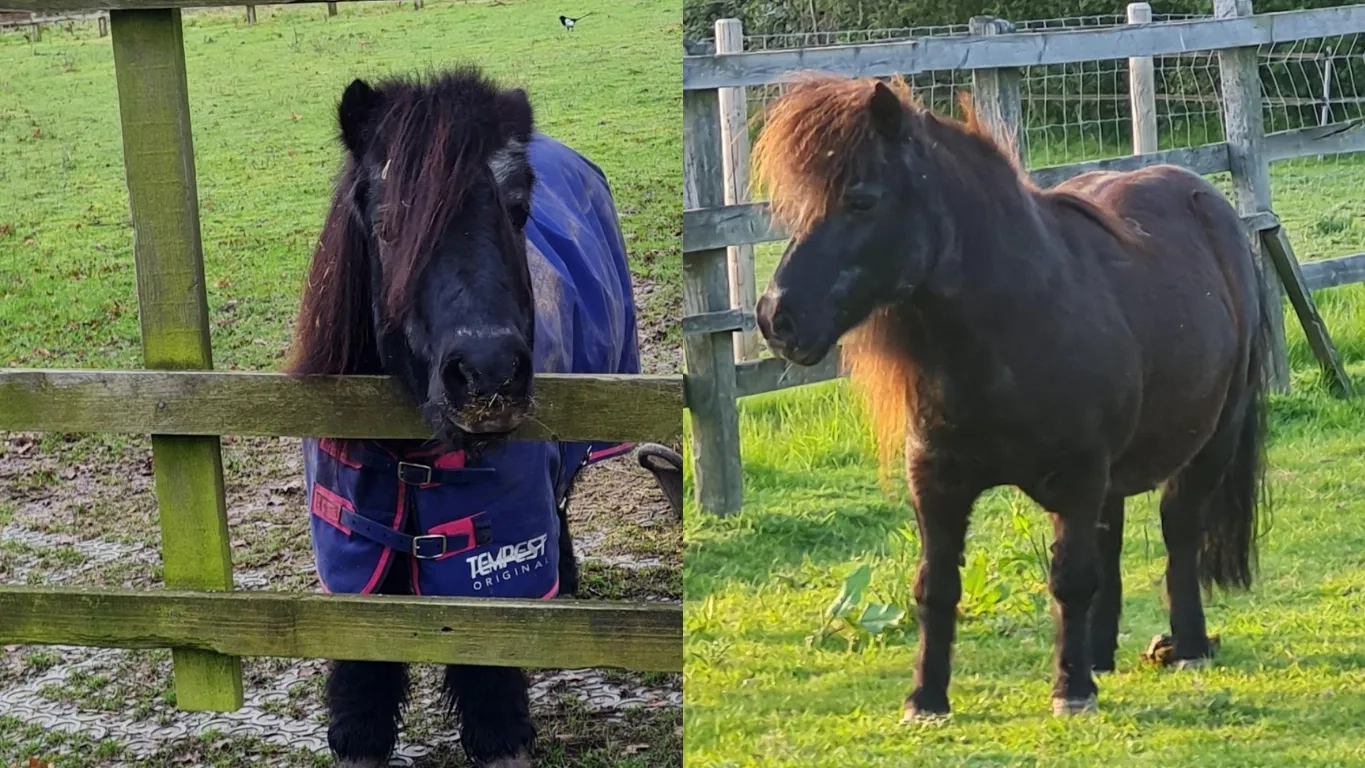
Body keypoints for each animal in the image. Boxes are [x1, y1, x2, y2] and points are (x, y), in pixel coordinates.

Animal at [288, 67, 651, 767]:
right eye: (388, 220)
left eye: (517, 208)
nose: (487, 373)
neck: (407, 457)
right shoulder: (354, 563)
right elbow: (363, 678)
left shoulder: (494, 550)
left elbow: (488, 671)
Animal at [752, 74, 1268, 718]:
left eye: (861, 200)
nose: (776, 318)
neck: (1009, 331)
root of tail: (1209, 202)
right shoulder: (937, 483)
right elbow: (936, 586)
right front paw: (927, 698)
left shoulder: (1077, 478)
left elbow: (1070, 579)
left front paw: (1070, 692)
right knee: (1112, 541)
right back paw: (1100, 657)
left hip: (1211, 440)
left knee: (1180, 531)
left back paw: (1187, 646)